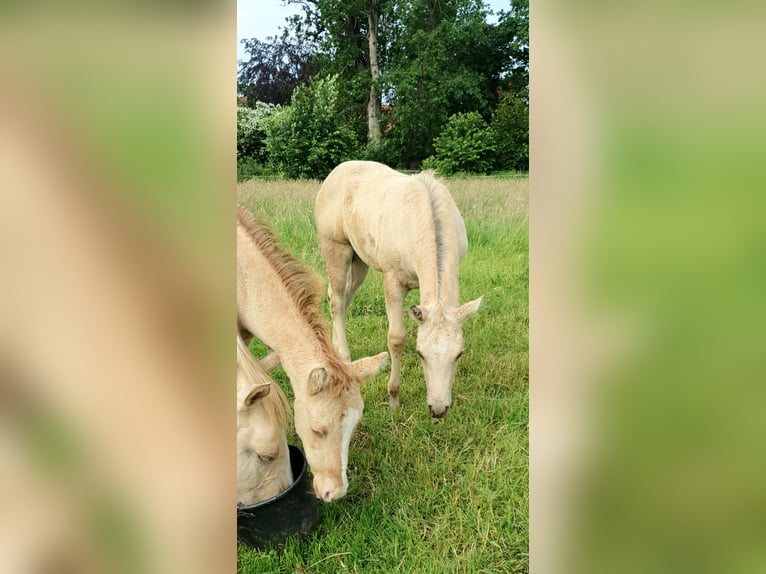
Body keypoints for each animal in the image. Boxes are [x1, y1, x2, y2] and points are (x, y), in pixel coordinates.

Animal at [315, 160, 483, 419]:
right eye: (420, 353)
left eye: (459, 354)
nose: (438, 409)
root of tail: (336, 172)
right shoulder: (393, 281)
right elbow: (396, 339)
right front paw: (393, 398)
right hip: (336, 250)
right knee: (337, 300)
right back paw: (343, 356)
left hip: (359, 261)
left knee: (341, 300)